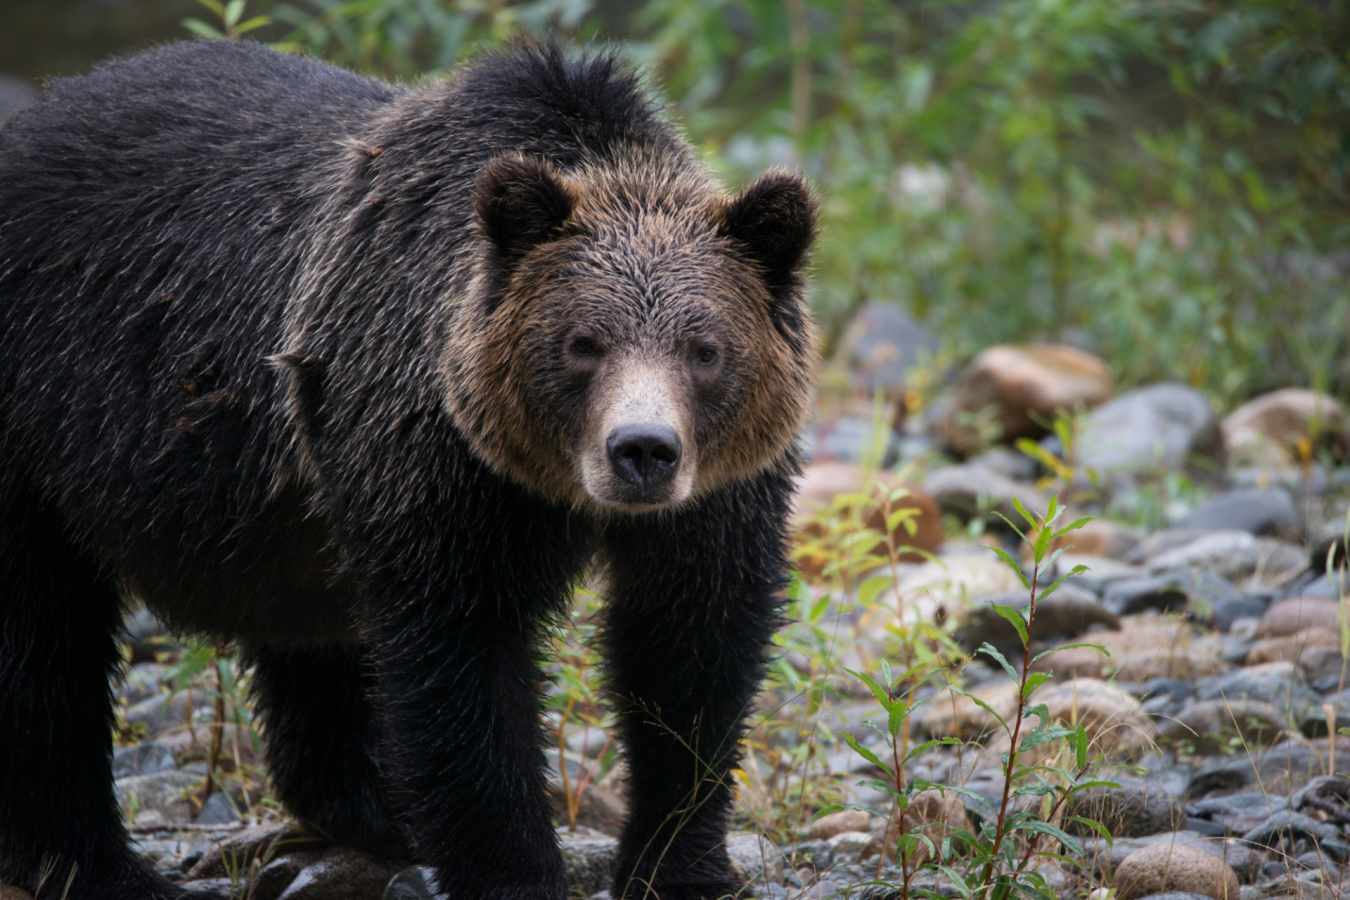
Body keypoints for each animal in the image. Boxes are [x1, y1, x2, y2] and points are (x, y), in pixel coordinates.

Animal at [0, 38, 817, 900]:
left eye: (705, 349)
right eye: (582, 343)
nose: (642, 451)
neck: (554, 488)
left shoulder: (716, 495)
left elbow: (689, 650)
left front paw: (681, 864)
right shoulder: (434, 457)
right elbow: (466, 659)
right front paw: (514, 870)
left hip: (275, 509)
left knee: (303, 635)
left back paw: (369, 805)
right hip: (46, 418)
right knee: (43, 649)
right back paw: (100, 865)